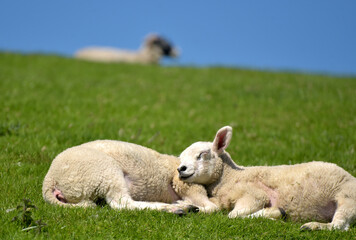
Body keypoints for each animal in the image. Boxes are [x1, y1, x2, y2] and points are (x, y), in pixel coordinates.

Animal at [43, 139, 218, 214]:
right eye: (204, 154)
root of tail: (50, 181)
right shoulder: (186, 184)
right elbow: (212, 208)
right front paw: (189, 206)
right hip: (105, 171)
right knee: (121, 203)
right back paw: (175, 208)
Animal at [178, 126, 356, 230]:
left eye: (202, 154)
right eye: (180, 158)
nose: (181, 169)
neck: (230, 177)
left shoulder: (254, 195)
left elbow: (233, 215)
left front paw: (272, 214)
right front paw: (183, 206)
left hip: (347, 198)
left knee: (339, 225)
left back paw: (313, 226)